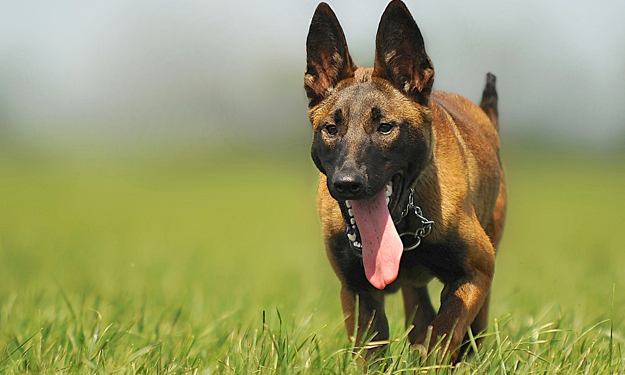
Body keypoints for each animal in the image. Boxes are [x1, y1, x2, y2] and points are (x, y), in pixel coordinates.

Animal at [304, 0, 508, 360]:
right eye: (331, 128)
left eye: (385, 127)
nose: (347, 183)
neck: (402, 224)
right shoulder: (358, 290)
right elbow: (371, 350)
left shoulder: (476, 272)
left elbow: (444, 333)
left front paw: (432, 358)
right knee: (420, 310)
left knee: (471, 332)